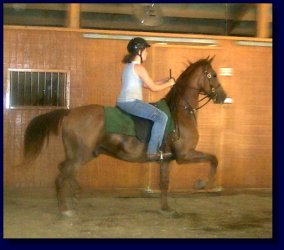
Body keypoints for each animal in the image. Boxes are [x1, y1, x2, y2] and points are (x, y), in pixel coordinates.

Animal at [22, 57, 226, 217]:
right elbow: (214, 159)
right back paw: (65, 209)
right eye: (213, 75)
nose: (223, 97)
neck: (180, 113)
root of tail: (70, 112)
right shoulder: (185, 155)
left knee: (64, 169)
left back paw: (77, 194)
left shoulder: (167, 160)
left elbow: (164, 183)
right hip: (81, 154)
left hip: (85, 153)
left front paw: (166, 208)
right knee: (61, 176)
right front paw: (202, 183)